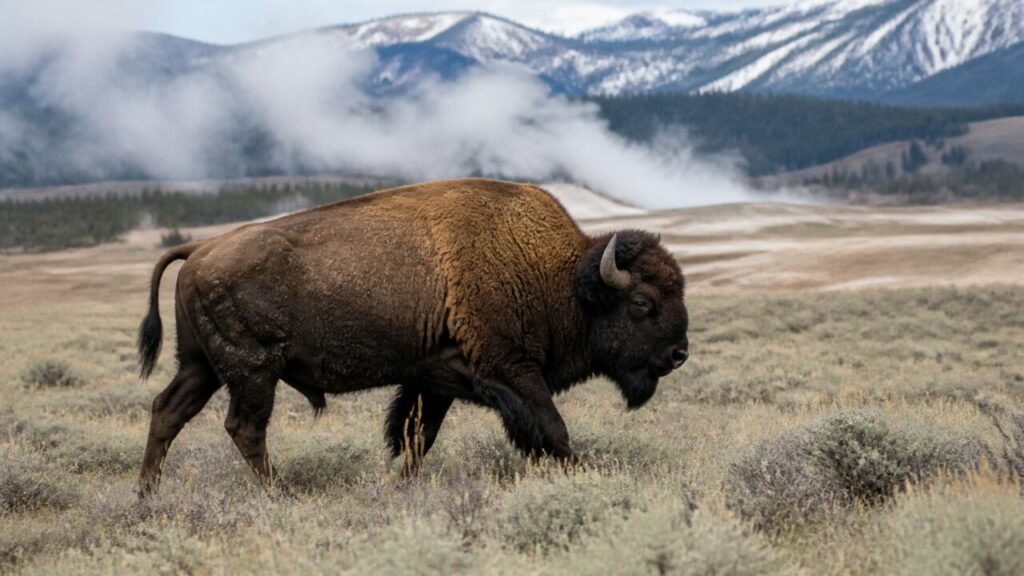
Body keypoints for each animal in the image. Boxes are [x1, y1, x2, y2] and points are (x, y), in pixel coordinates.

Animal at [137, 178, 688, 495]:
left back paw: (147, 496)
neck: (557, 275)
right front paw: (583, 474)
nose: (678, 353)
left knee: (168, 411)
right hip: (253, 371)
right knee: (244, 427)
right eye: (642, 304)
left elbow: (417, 437)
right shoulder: (512, 371)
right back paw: (280, 495)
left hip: (201, 366)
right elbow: (552, 429)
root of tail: (199, 250)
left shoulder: (435, 380)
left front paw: (398, 485)